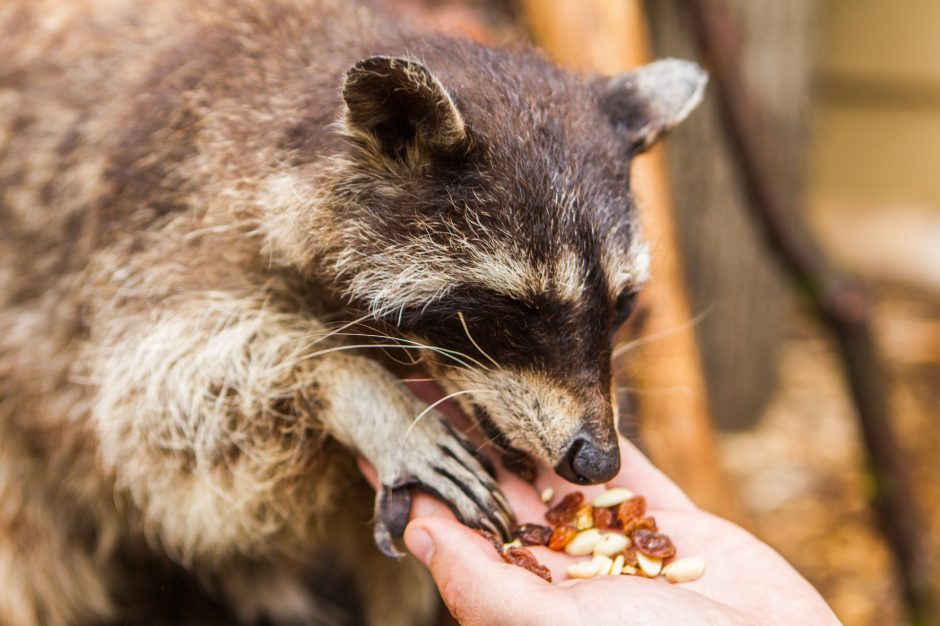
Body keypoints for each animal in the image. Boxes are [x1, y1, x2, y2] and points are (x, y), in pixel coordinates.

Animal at [0, 1, 704, 620]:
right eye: (515, 311)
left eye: (622, 304)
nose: (598, 462)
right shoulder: (157, 225)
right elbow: (160, 400)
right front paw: (355, 389)